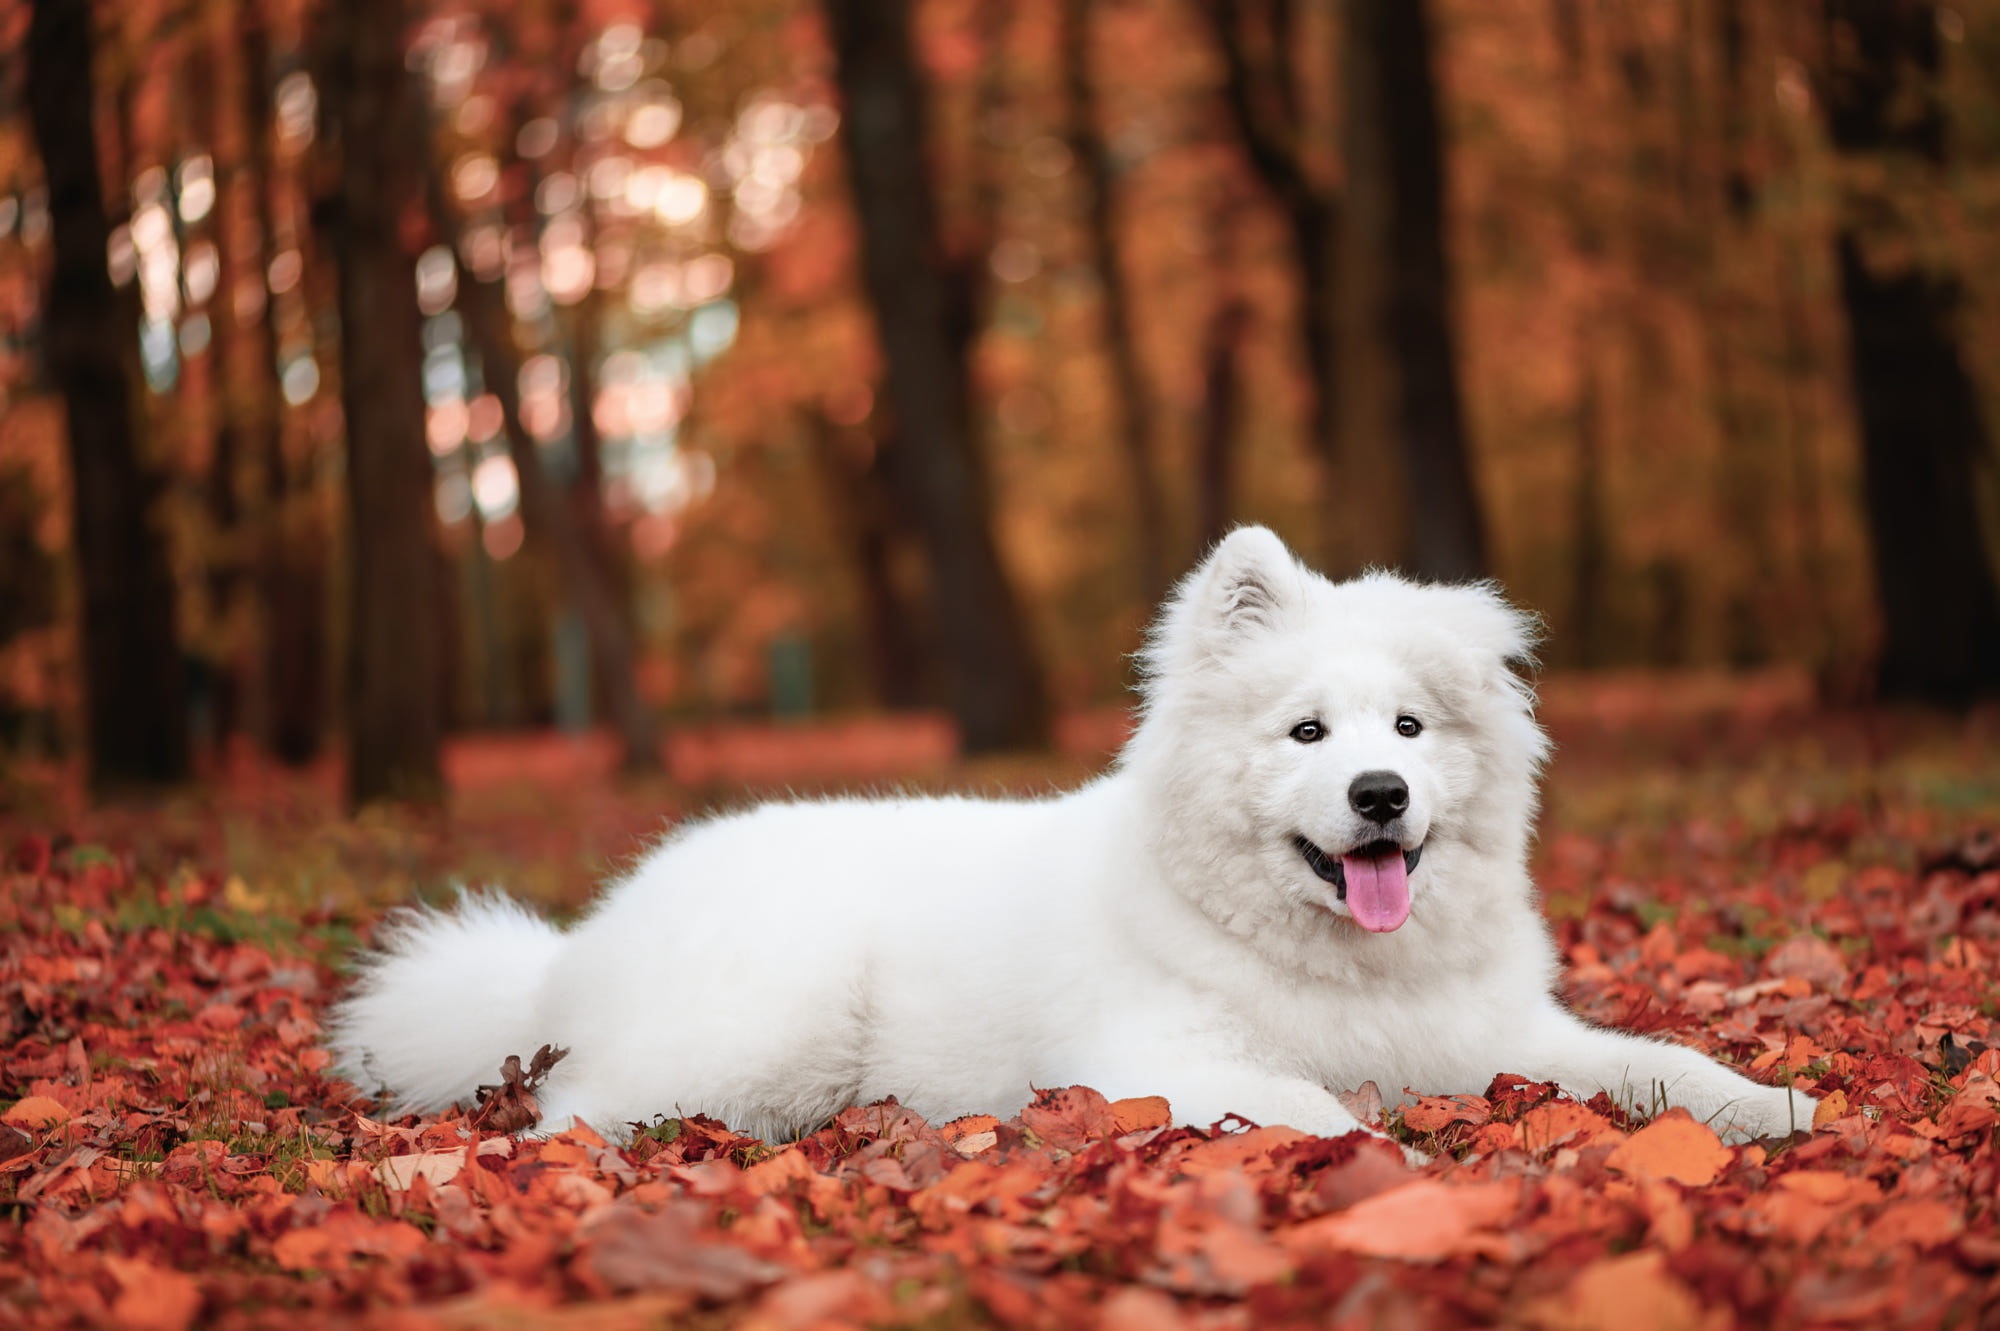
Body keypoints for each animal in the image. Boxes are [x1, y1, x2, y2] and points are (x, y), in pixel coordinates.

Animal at [336, 527, 1824, 1143]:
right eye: (1305, 733)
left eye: (1406, 728)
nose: (1379, 796)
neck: (1338, 963)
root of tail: (568, 950)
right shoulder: (1155, 1060)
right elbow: (1312, 1103)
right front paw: (1394, 1160)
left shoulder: (1505, 1037)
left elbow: (1663, 1064)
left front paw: (1784, 1105)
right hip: (766, 1028)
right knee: (570, 1113)